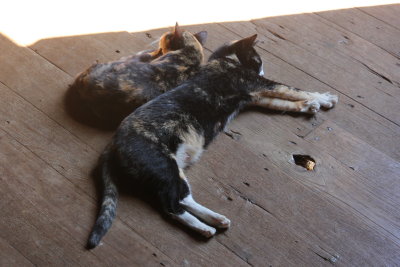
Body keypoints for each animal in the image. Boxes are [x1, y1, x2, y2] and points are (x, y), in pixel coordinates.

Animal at [86, 34, 338, 249]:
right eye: (257, 59)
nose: (262, 68)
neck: (223, 59)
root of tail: (111, 146)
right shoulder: (258, 84)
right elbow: (293, 90)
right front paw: (324, 98)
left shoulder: (255, 95)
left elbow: (283, 102)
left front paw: (308, 106)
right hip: (164, 166)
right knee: (172, 206)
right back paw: (207, 227)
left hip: (172, 171)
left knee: (182, 199)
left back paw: (215, 219)